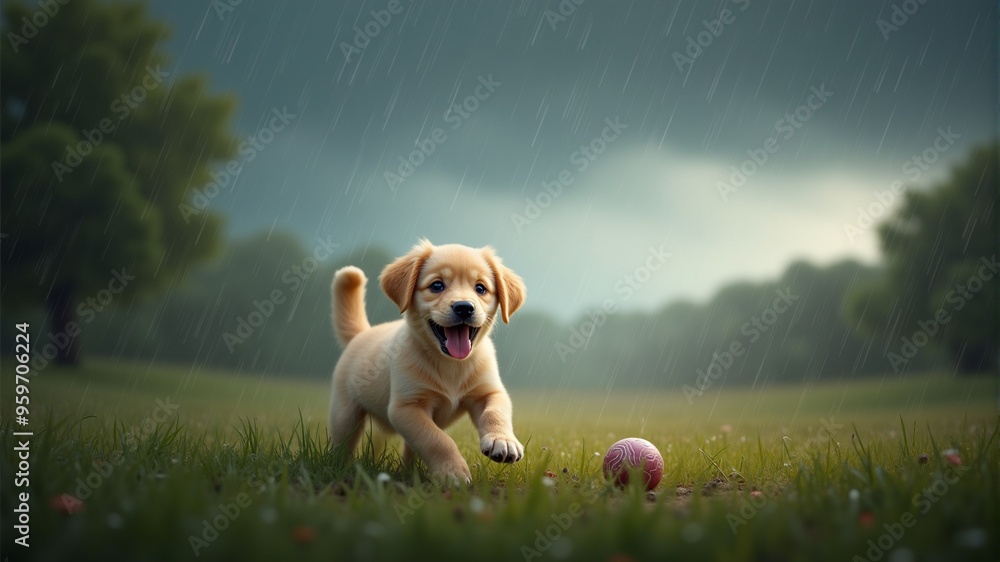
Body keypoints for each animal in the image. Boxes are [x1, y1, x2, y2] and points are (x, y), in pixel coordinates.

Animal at [330, 237, 532, 482]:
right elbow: (436, 440)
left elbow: (496, 413)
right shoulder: (406, 407)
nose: (464, 307)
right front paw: (452, 471)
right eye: (437, 286)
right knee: (343, 444)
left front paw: (502, 440)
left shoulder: (488, 392)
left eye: (480, 288)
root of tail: (361, 334)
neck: (451, 364)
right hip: (345, 412)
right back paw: (342, 468)